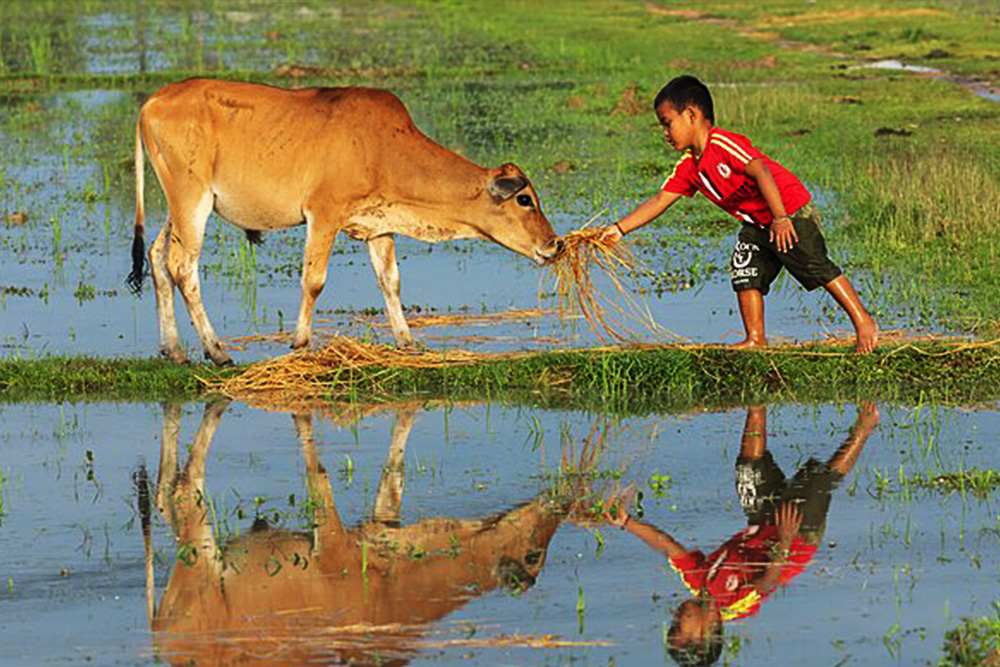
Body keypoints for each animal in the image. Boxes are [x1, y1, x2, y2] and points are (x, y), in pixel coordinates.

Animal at [126, 79, 563, 365]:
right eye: (525, 199)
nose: (555, 244)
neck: (384, 148)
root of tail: (153, 101)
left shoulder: (379, 226)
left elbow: (391, 282)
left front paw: (407, 340)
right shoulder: (323, 215)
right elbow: (314, 281)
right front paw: (301, 341)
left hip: (180, 208)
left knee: (158, 256)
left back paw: (174, 349)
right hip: (191, 201)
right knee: (184, 268)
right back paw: (216, 351)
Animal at [139, 400, 573, 667]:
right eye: (534, 553)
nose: (563, 502)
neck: (390, 589)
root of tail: (161, 636)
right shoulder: (332, 543)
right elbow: (320, 477)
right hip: (199, 551)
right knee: (183, 490)